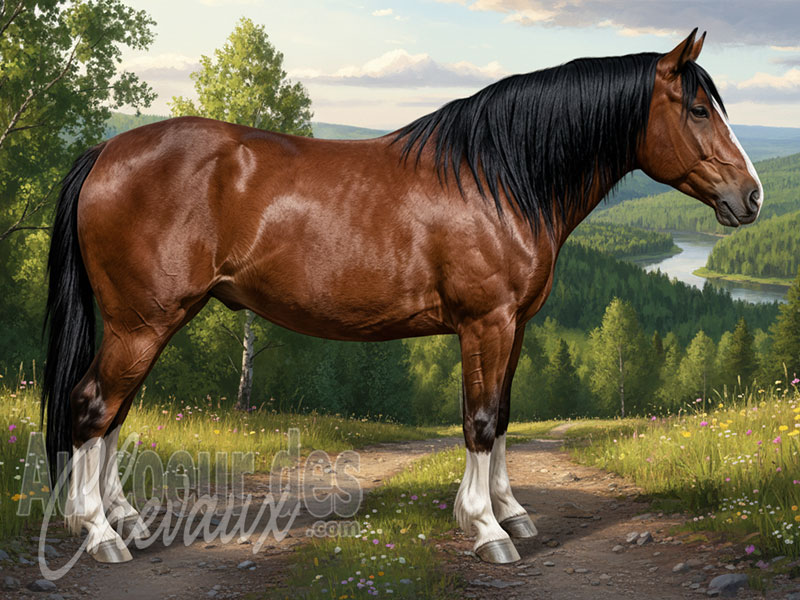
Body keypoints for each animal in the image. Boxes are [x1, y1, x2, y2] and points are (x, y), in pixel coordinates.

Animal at [41, 29, 762, 565]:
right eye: (699, 109)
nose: (751, 197)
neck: (499, 178)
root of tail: (107, 149)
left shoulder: (517, 325)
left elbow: (504, 416)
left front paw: (511, 512)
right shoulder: (486, 323)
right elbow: (478, 420)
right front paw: (486, 529)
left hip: (150, 321)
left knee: (114, 416)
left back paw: (128, 523)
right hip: (141, 322)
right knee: (92, 407)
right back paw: (100, 534)